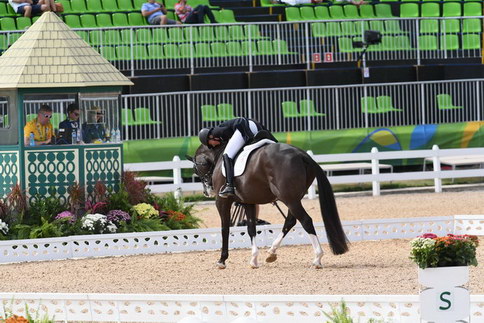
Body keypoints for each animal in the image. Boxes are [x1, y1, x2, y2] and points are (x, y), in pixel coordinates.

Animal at [187, 143, 350, 270]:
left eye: (196, 168)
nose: (207, 191)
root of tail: (302, 155)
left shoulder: (222, 202)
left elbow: (225, 229)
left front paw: (222, 260)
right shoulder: (249, 202)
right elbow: (251, 228)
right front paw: (253, 260)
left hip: (289, 199)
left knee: (306, 221)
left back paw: (317, 259)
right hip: (293, 198)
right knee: (291, 221)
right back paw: (272, 253)